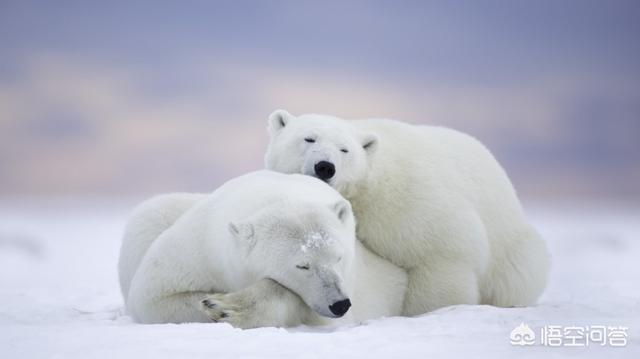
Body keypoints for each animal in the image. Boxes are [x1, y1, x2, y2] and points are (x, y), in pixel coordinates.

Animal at [119, 170, 404, 328]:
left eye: (339, 257)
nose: (340, 303)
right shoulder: (200, 247)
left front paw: (227, 306)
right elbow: (154, 297)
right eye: (302, 265)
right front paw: (215, 303)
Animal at [264, 109, 552, 316]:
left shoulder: (410, 203)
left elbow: (442, 254)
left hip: (512, 249)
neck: (369, 187)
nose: (325, 166)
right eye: (308, 138)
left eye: (344, 149)